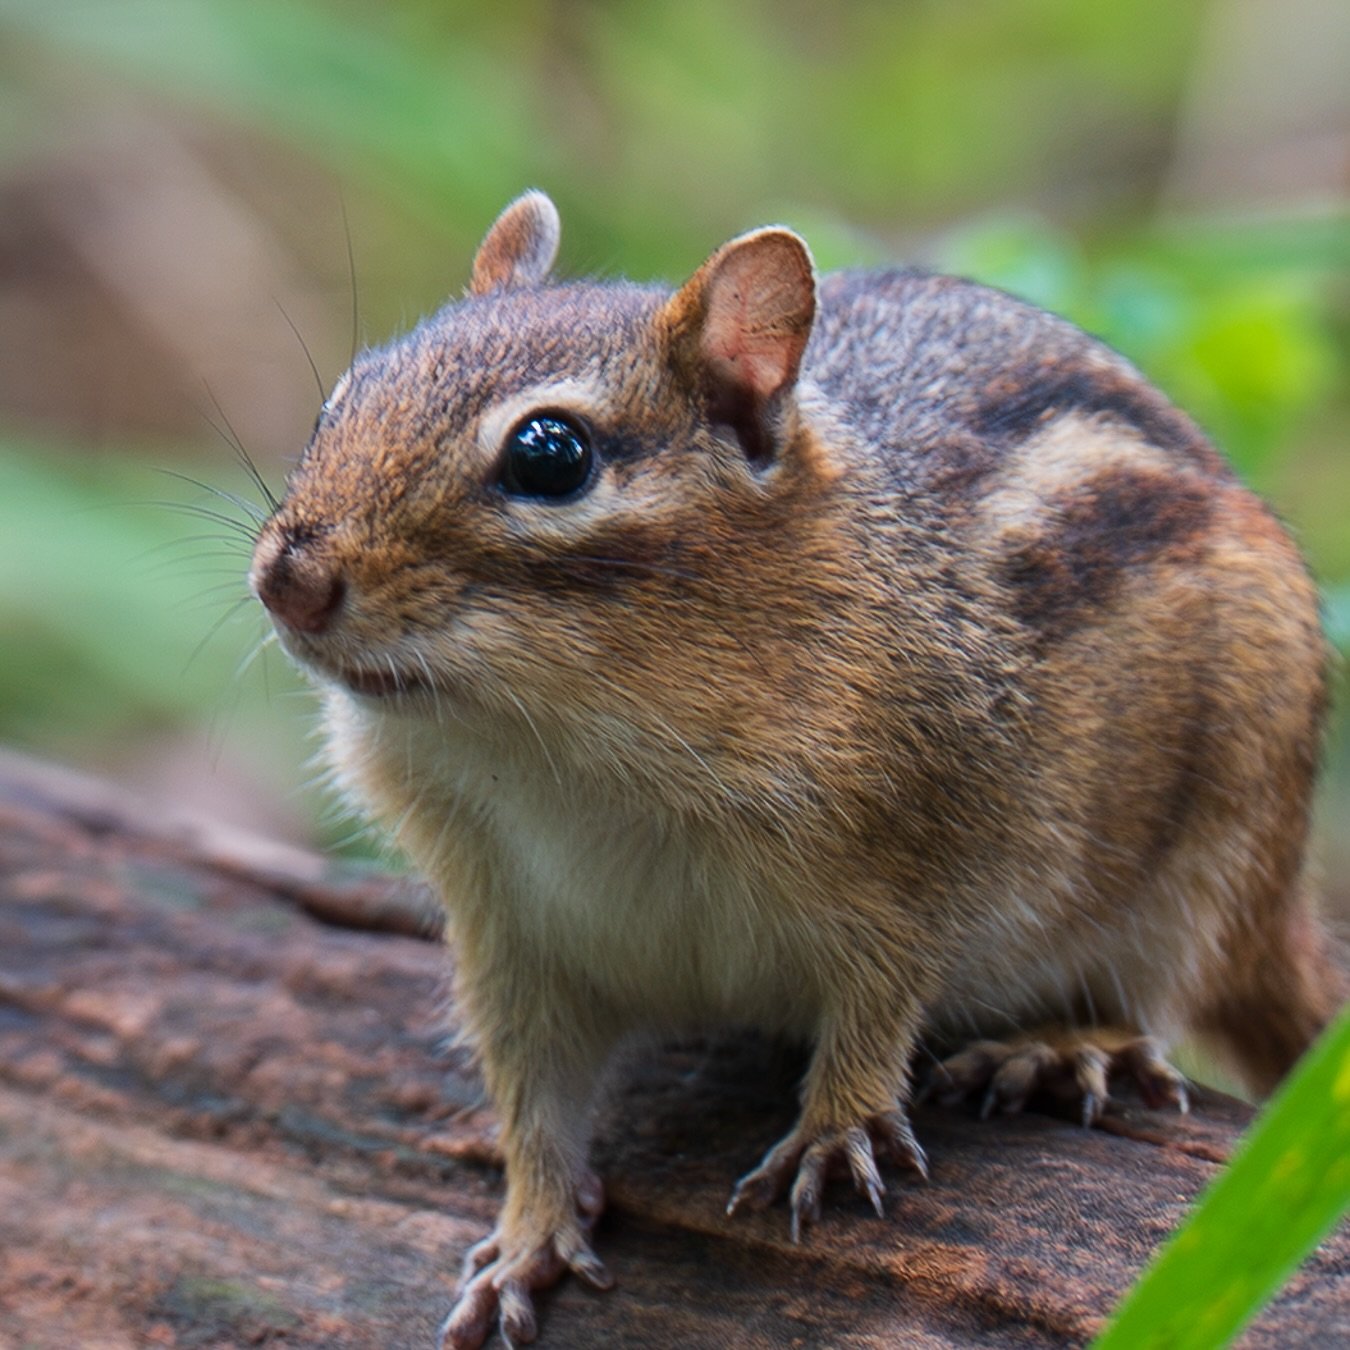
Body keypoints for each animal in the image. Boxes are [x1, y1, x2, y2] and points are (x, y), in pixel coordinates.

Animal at [250, 190, 1345, 1348]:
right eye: (342, 396)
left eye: (552, 455)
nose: (290, 579)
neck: (557, 747)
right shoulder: (510, 926)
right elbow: (531, 1095)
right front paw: (527, 1228)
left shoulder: (912, 859)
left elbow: (879, 1002)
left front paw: (835, 1126)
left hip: (1221, 834)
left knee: (1166, 986)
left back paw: (1065, 1042)